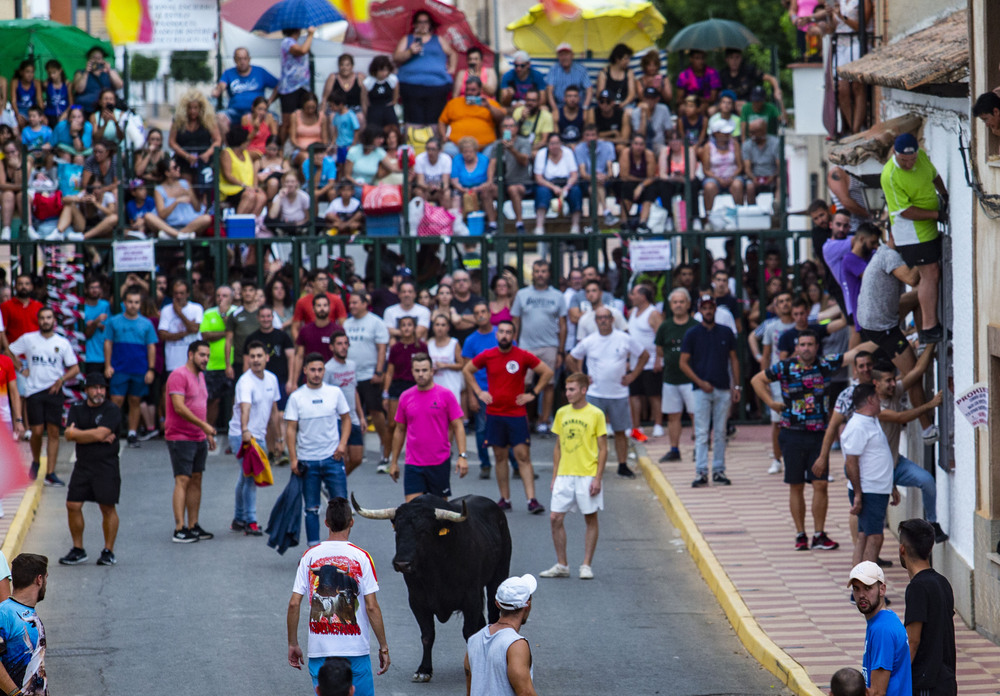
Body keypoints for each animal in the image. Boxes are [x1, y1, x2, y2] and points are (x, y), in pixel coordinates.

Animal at [352, 492, 512, 684]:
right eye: (397, 529)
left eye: (424, 531)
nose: (402, 563)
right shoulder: (417, 601)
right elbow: (427, 635)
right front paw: (424, 670)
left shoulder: (470, 598)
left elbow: (469, 632)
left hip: (499, 575)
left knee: (493, 616)